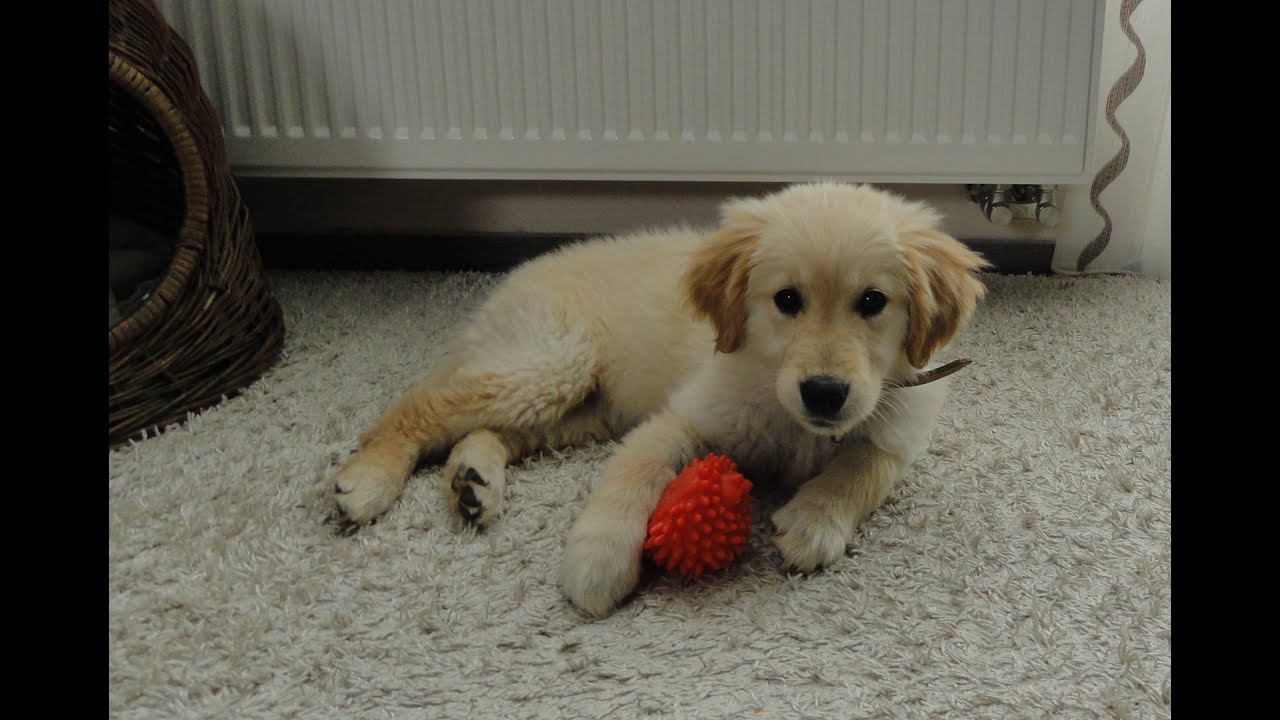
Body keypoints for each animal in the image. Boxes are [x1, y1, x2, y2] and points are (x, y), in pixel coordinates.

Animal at [332, 181, 988, 614]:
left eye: (873, 302)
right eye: (788, 300)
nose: (824, 393)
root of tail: (512, 280)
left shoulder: (899, 420)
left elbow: (865, 467)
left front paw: (815, 520)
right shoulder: (681, 417)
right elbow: (634, 475)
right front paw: (598, 559)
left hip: (579, 409)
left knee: (492, 429)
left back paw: (473, 479)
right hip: (552, 361)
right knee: (419, 406)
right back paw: (367, 480)